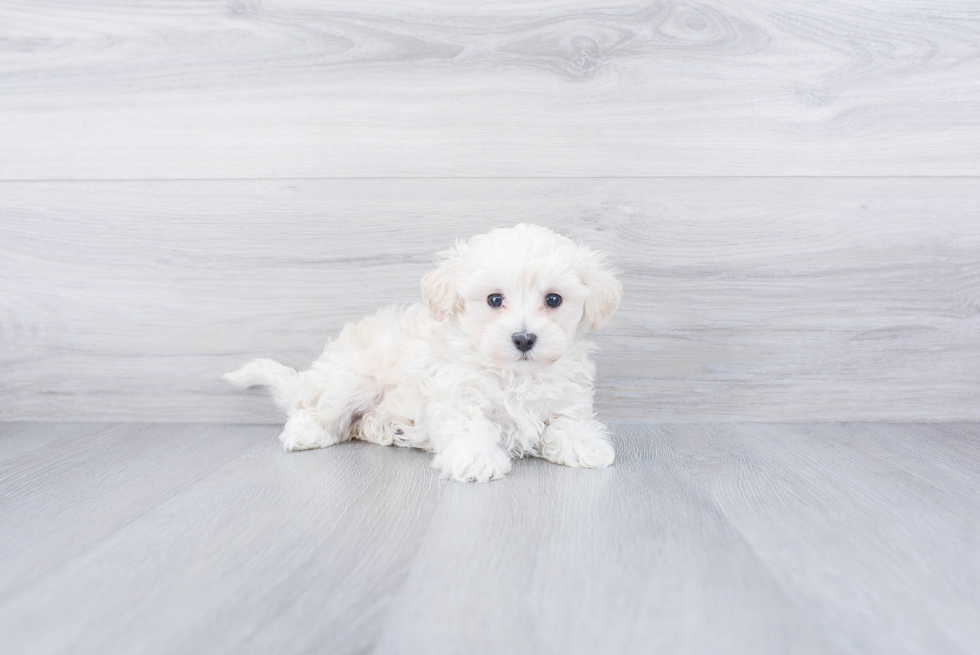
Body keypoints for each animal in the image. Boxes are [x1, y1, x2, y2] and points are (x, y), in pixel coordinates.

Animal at [224, 224, 620, 482]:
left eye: (553, 300)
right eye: (494, 299)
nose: (524, 339)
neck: (515, 374)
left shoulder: (566, 396)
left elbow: (568, 422)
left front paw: (586, 445)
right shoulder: (455, 393)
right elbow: (468, 423)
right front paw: (476, 457)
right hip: (352, 379)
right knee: (315, 411)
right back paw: (309, 432)